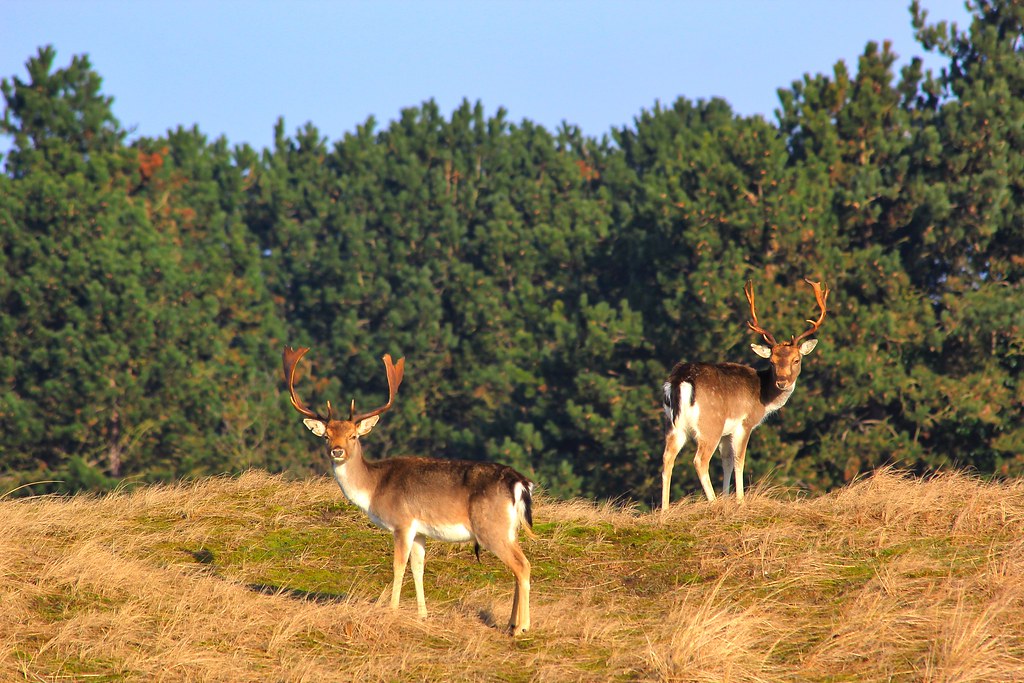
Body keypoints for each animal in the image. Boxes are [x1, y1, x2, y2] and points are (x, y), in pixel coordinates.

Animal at [282, 347, 535, 635]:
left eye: (353, 436)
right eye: (326, 436)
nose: (337, 451)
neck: (374, 488)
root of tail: (520, 482)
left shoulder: (402, 522)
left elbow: (398, 566)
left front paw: (391, 610)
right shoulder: (420, 530)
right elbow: (418, 567)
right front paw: (422, 614)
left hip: (490, 527)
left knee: (522, 565)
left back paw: (522, 627)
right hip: (509, 529)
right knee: (518, 566)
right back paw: (511, 623)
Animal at [660, 279, 829, 509]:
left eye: (796, 359)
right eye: (772, 361)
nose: (782, 382)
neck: (764, 399)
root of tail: (680, 380)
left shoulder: (726, 433)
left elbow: (726, 462)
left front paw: (728, 498)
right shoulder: (744, 423)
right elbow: (739, 461)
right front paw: (739, 500)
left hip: (673, 426)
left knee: (667, 458)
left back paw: (664, 511)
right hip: (710, 424)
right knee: (700, 460)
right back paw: (712, 502)